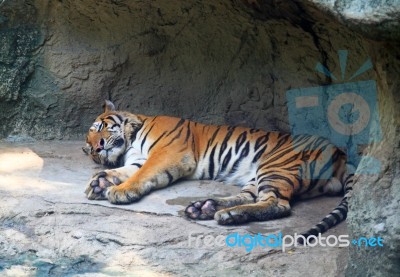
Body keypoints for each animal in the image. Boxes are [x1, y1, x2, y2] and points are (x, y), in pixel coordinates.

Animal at [83, 99, 354, 239]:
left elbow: (141, 175)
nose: (96, 148)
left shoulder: (167, 154)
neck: (131, 139)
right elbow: (124, 172)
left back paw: (225, 214)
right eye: (89, 148)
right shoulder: (139, 159)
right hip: (259, 175)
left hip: (276, 165)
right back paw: (208, 208)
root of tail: (339, 151)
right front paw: (99, 182)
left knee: (278, 204)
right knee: (252, 197)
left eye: (99, 128)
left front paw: (119, 191)